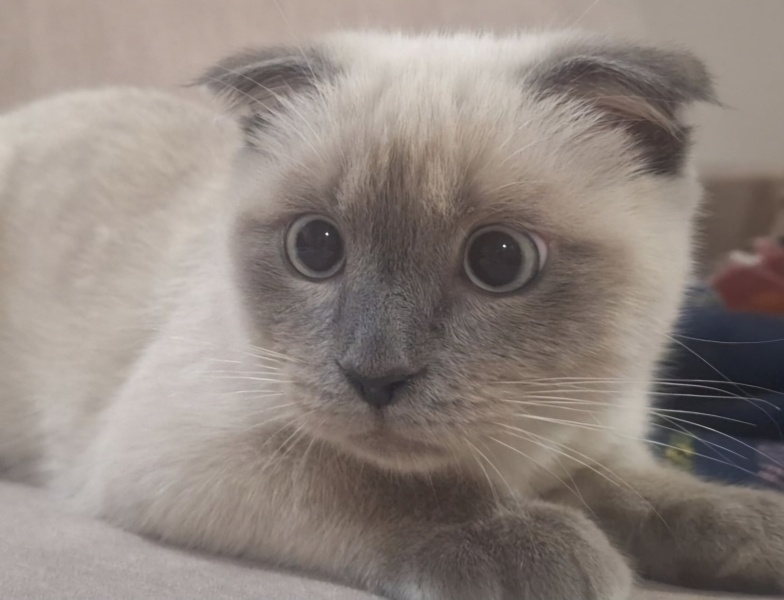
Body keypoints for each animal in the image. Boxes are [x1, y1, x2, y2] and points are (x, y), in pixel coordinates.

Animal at [1, 31, 784, 600]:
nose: (374, 377)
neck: (512, 462)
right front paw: (541, 549)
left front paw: (758, 528)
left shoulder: (587, 447)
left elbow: (662, 498)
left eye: (500, 260)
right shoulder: (195, 447)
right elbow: (395, 491)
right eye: (315, 248)